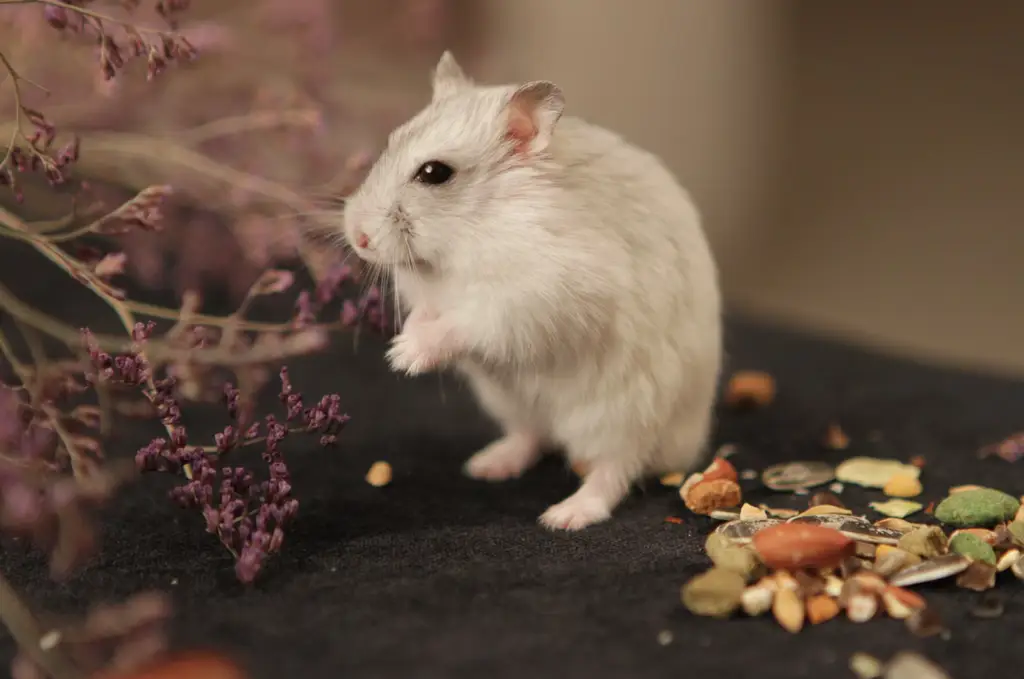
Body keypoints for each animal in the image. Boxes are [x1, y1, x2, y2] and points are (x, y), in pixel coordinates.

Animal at [335, 51, 720, 532]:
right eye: (389, 143)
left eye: (434, 173)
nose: (358, 237)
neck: (465, 234)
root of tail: (687, 445)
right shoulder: (432, 297)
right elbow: (428, 314)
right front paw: (400, 346)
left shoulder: (532, 298)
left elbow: (464, 324)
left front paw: (403, 357)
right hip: (511, 403)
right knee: (532, 437)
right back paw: (485, 466)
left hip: (623, 417)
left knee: (613, 472)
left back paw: (563, 517)